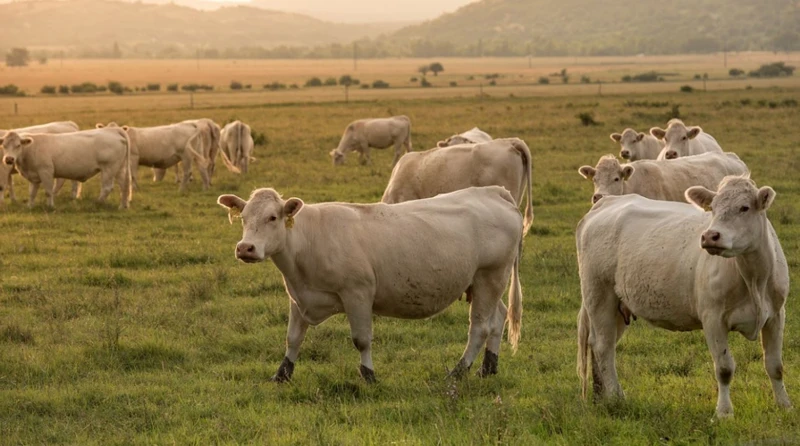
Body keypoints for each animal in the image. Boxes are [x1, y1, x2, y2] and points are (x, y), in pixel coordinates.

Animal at [0, 127, 131, 207]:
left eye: (18, 145)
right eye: (4, 145)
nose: (9, 159)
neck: (31, 148)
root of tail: (113, 130)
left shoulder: (46, 172)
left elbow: (48, 191)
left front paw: (50, 206)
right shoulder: (34, 176)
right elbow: (32, 193)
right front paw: (30, 206)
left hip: (109, 169)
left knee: (107, 187)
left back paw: (97, 203)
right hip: (119, 168)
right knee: (124, 186)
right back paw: (122, 206)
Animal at [217, 185, 524, 384]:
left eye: (272, 217)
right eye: (243, 218)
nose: (245, 248)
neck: (309, 240)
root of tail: (493, 192)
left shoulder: (358, 294)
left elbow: (361, 340)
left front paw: (369, 375)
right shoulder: (299, 297)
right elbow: (293, 338)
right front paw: (282, 374)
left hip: (489, 276)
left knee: (480, 327)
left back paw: (458, 372)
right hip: (485, 283)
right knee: (498, 319)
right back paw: (488, 368)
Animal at [580, 176, 792, 420]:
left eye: (744, 207)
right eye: (713, 208)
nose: (710, 236)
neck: (754, 279)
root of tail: (606, 202)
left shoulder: (776, 315)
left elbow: (775, 365)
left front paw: (784, 405)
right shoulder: (713, 318)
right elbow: (724, 368)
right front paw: (723, 412)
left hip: (618, 304)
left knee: (602, 345)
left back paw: (601, 396)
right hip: (598, 294)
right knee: (603, 346)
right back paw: (616, 397)